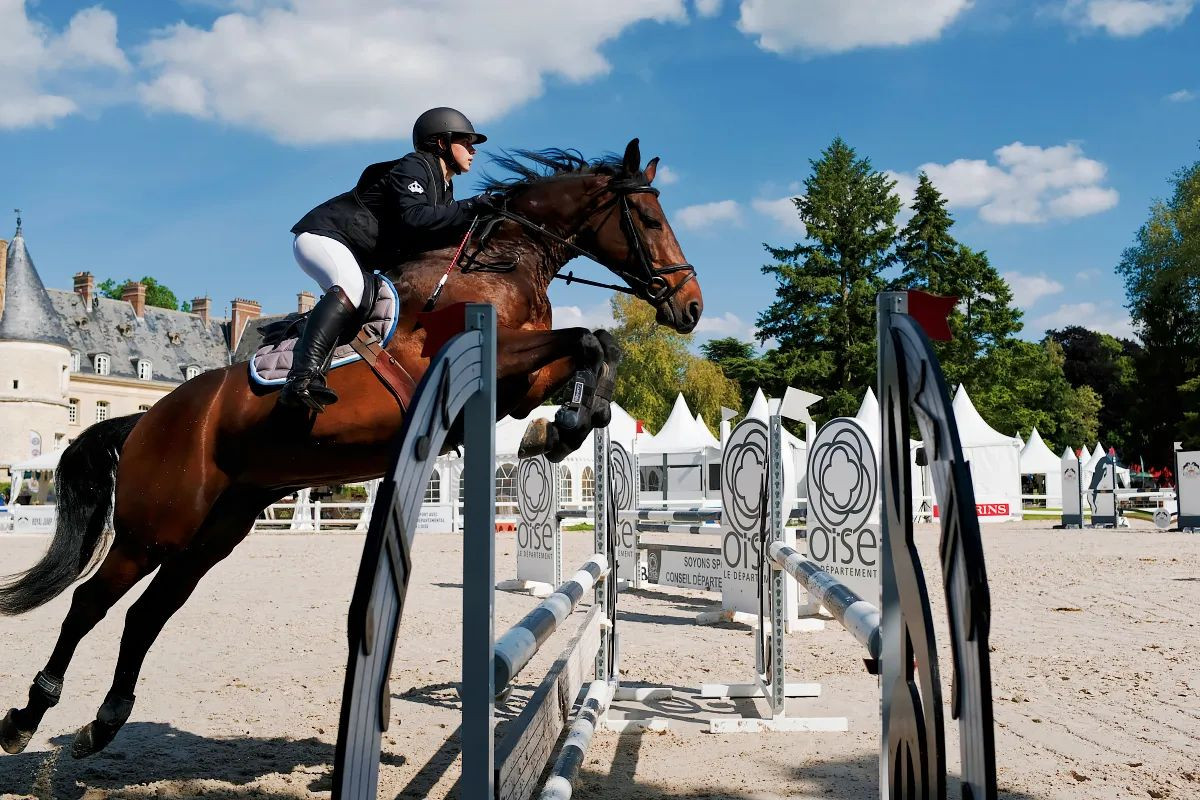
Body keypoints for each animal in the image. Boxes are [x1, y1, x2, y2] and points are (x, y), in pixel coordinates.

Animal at [0, 140, 700, 762]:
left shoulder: (518, 384)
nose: (691, 308)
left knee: (147, 614)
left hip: (212, 533)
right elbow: (587, 337)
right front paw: (568, 423)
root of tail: (145, 421)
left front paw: (567, 425)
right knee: (90, 603)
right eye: (650, 219)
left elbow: (596, 346)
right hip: (154, 530)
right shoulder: (486, 360)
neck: (504, 260)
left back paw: (104, 723)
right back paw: (28, 716)